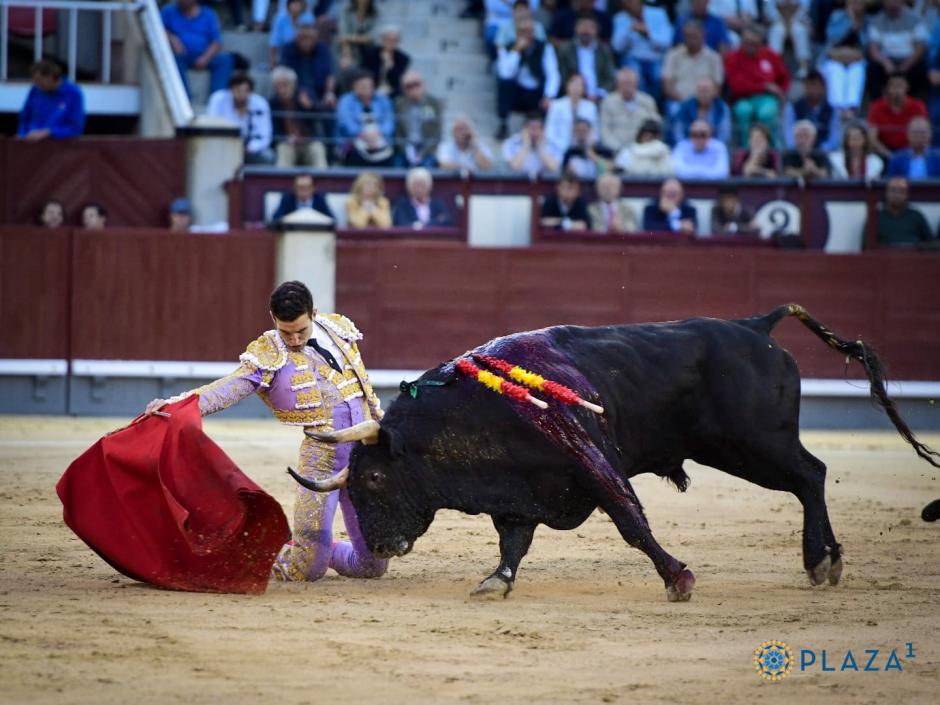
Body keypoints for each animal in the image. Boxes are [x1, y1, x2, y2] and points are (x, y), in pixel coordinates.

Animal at [290, 302, 936, 600]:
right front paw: (496, 581)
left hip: (754, 443)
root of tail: (757, 324)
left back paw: (821, 561)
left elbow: (630, 520)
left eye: (374, 480)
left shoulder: (591, 460)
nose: (378, 547)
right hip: (741, 448)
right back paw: (823, 561)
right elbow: (513, 542)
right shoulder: (519, 492)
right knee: (809, 477)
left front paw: (678, 577)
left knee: (810, 474)